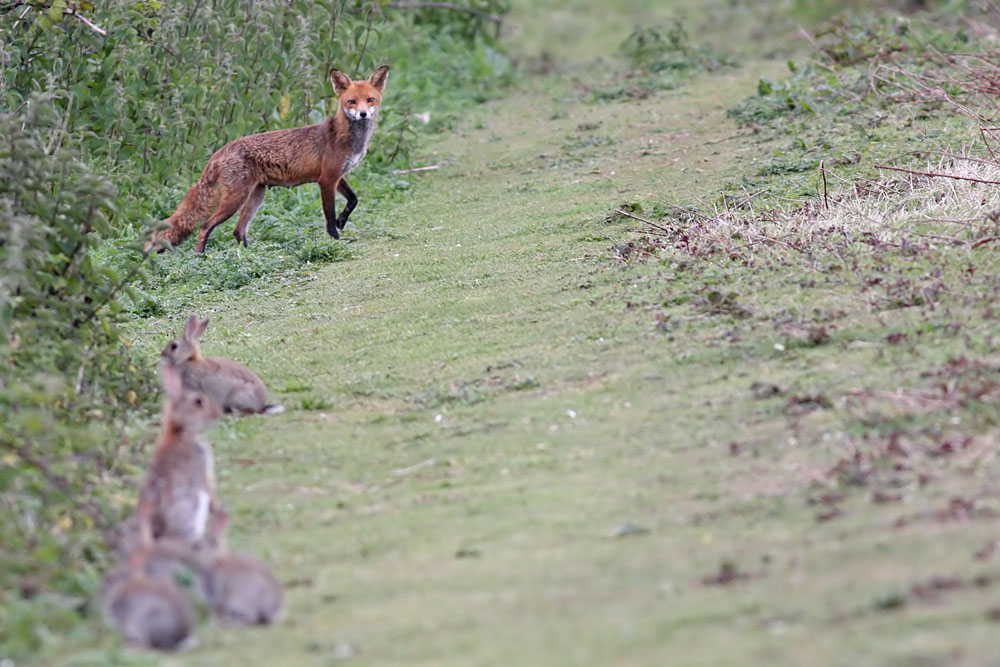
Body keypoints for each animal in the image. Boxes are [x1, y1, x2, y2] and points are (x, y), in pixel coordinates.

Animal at [148, 65, 389, 253]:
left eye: (370, 100)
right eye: (351, 102)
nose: (363, 114)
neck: (344, 136)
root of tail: (220, 151)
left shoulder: (338, 176)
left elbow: (353, 200)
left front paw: (342, 221)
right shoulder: (327, 180)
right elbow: (328, 216)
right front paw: (336, 239)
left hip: (256, 196)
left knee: (238, 231)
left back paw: (249, 256)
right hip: (235, 200)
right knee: (205, 226)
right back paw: (201, 257)